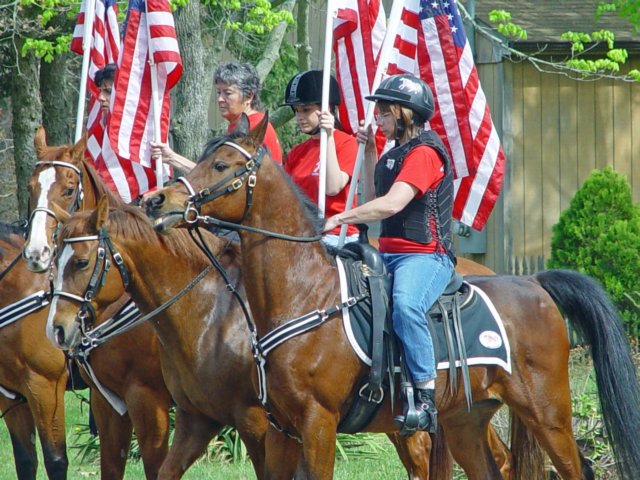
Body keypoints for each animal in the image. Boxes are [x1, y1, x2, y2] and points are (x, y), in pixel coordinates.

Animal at [142, 114, 640, 478]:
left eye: (221, 166)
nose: (157, 201)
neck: (304, 293)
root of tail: (534, 282)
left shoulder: (318, 425)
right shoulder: (282, 430)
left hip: (548, 416)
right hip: (465, 422)